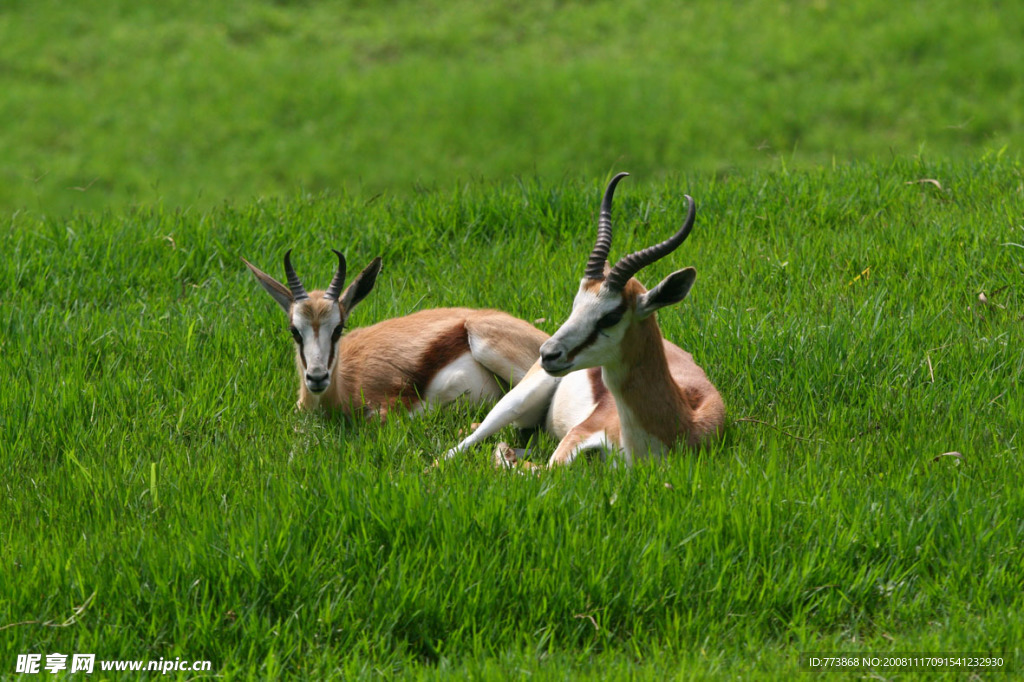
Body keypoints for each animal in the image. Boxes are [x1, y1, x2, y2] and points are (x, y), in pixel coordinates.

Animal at [444, 173, 724, 464]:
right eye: (575, 305)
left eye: (611, 316)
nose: (549, 354)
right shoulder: (578, 434)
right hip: (516, 402)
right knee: (458, 448)